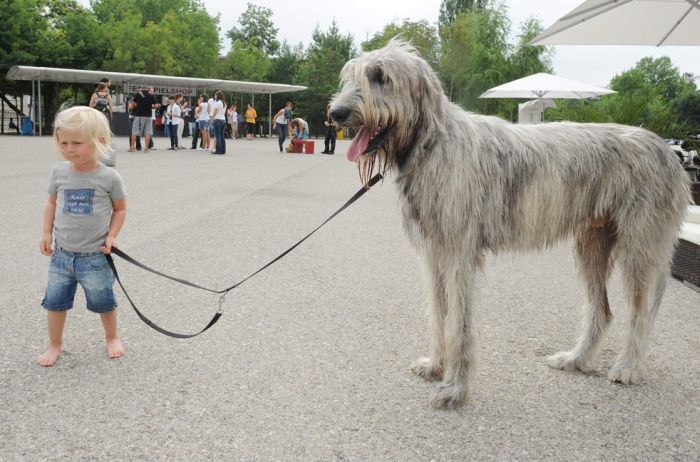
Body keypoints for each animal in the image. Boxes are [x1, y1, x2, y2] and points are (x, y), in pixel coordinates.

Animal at [330, 39, 688, 408]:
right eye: (351, 76)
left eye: (381, 76)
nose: (336, 114)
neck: (431, 145)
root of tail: (670, 153)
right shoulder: (434, 254)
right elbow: (438, 313)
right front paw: (436, 365)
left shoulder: (459, 254)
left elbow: (459, 322)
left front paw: (455, 387)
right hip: (592, 245)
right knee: (602, 311)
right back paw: (574, 359)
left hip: (639, 248)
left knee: (640, 312)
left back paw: (628, 367)